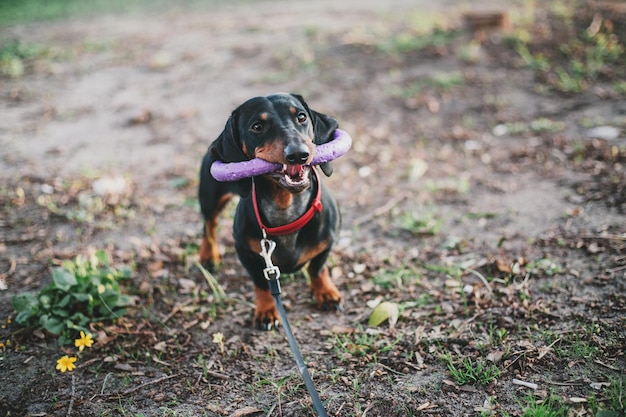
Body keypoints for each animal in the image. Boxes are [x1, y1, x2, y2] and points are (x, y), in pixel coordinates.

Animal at [199, 92, 342, 330]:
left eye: (301, 117)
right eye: (257, 126)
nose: (298, 154)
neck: (286, 208)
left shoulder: (327, 243)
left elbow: (317, 268)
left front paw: (326, 293)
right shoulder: (246, 252)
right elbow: (262, 284)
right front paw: (266, 311)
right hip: (210, 197)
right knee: (209, 224)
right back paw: (208, 255)